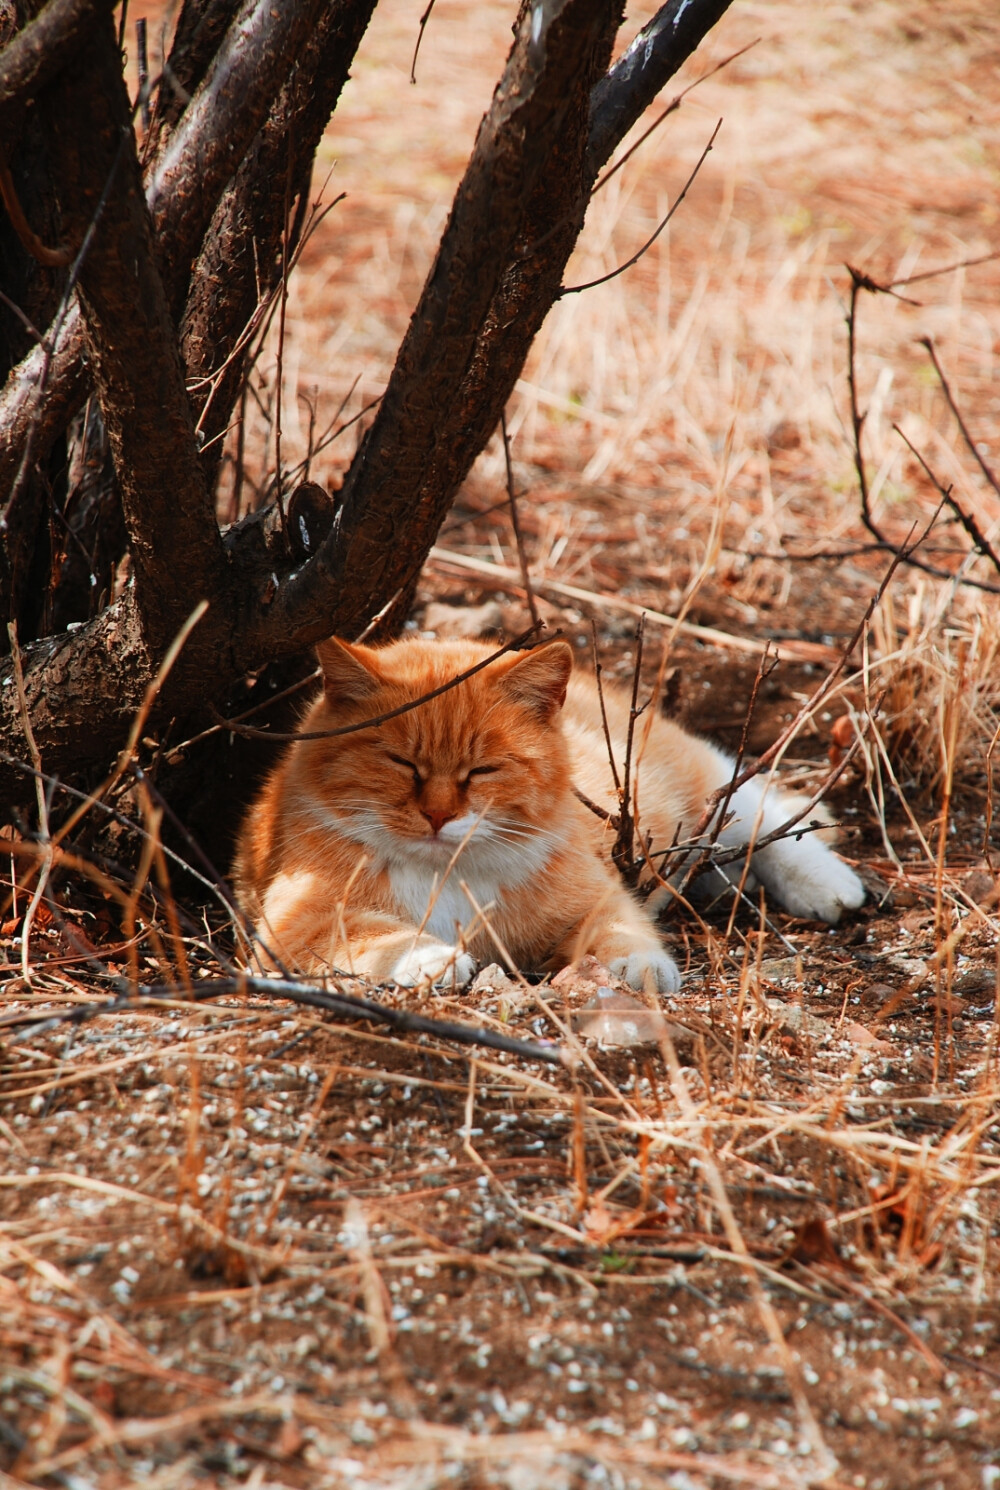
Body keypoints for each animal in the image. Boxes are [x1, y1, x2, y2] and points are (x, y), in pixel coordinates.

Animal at [235, 631, 870, 989]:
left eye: (482, 770)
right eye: (401, 763)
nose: (439, 817)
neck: (444, 872)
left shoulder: (594, 896)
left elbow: (619, 928)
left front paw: (637, 966)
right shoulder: (294, 926)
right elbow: (373, 933)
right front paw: (428, 958)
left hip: (682, 790)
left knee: (750, 802)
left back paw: (827, 884)